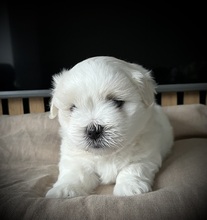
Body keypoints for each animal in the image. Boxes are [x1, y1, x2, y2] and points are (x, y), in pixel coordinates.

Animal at [45, 56, 173, 198]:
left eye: (116, 102)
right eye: (73, 107)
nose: (93, 131)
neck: (106, 155)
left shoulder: (146, 155)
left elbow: (135, 167)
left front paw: (129, 187)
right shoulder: (74, 158)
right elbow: (74, 173)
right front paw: (64, 189)